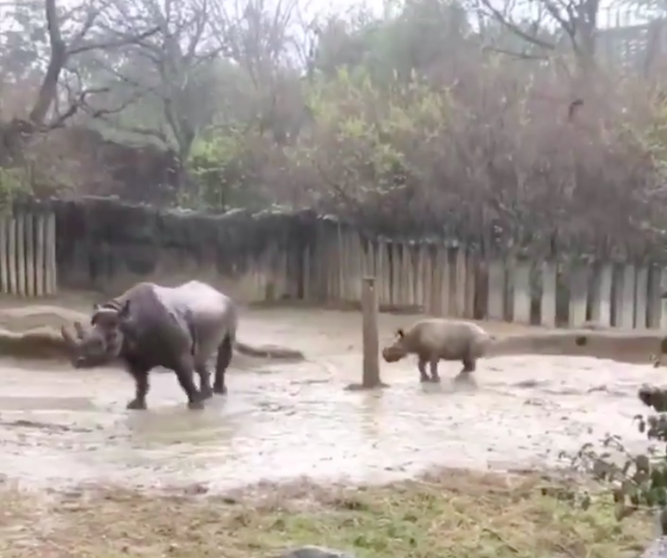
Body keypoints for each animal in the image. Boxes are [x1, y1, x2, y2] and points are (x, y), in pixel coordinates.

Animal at [61, 280, 237, 411]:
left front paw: (196, 406)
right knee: (200, 356)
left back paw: (218, 392)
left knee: (224, 348)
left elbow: (185, 378)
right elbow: (140, 381)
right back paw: (207, 395)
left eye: (110, 338)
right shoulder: (133, 355)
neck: (128, 321)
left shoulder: (180, 355)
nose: (78, 361)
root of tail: (219, 292)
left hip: (230, 308)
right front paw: (135, 406)